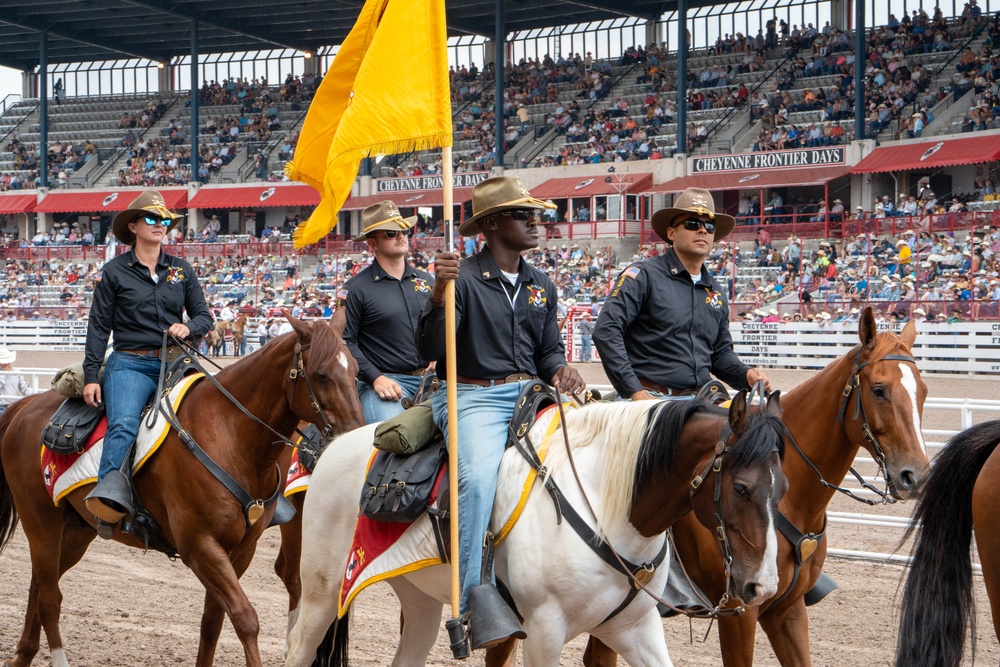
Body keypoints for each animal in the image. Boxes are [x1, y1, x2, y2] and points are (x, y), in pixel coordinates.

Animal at [0, 314, 364, 667]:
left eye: (356, 371)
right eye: (321, 375)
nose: (355, 435)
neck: (230, 435)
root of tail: (25, 407)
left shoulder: (240, 551)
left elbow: (213, 622)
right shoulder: (200, 546)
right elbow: (246, 618)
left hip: (76, 530)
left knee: (39, 585)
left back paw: (23, 655)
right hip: (41, 521)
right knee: (50, 597)